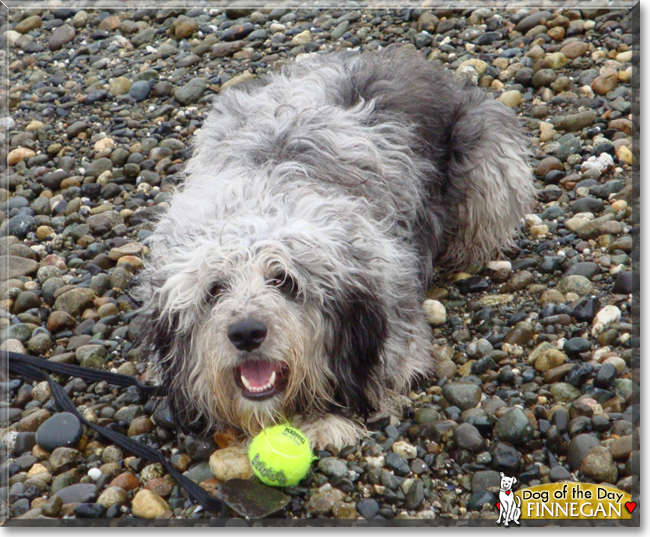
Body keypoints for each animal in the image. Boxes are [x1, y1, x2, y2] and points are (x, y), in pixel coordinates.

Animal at [135, 48, 532, 446]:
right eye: (214, 289)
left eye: (284, 281)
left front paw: (325, 419)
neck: (260, 195)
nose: (246, 333)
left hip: (488, 168)